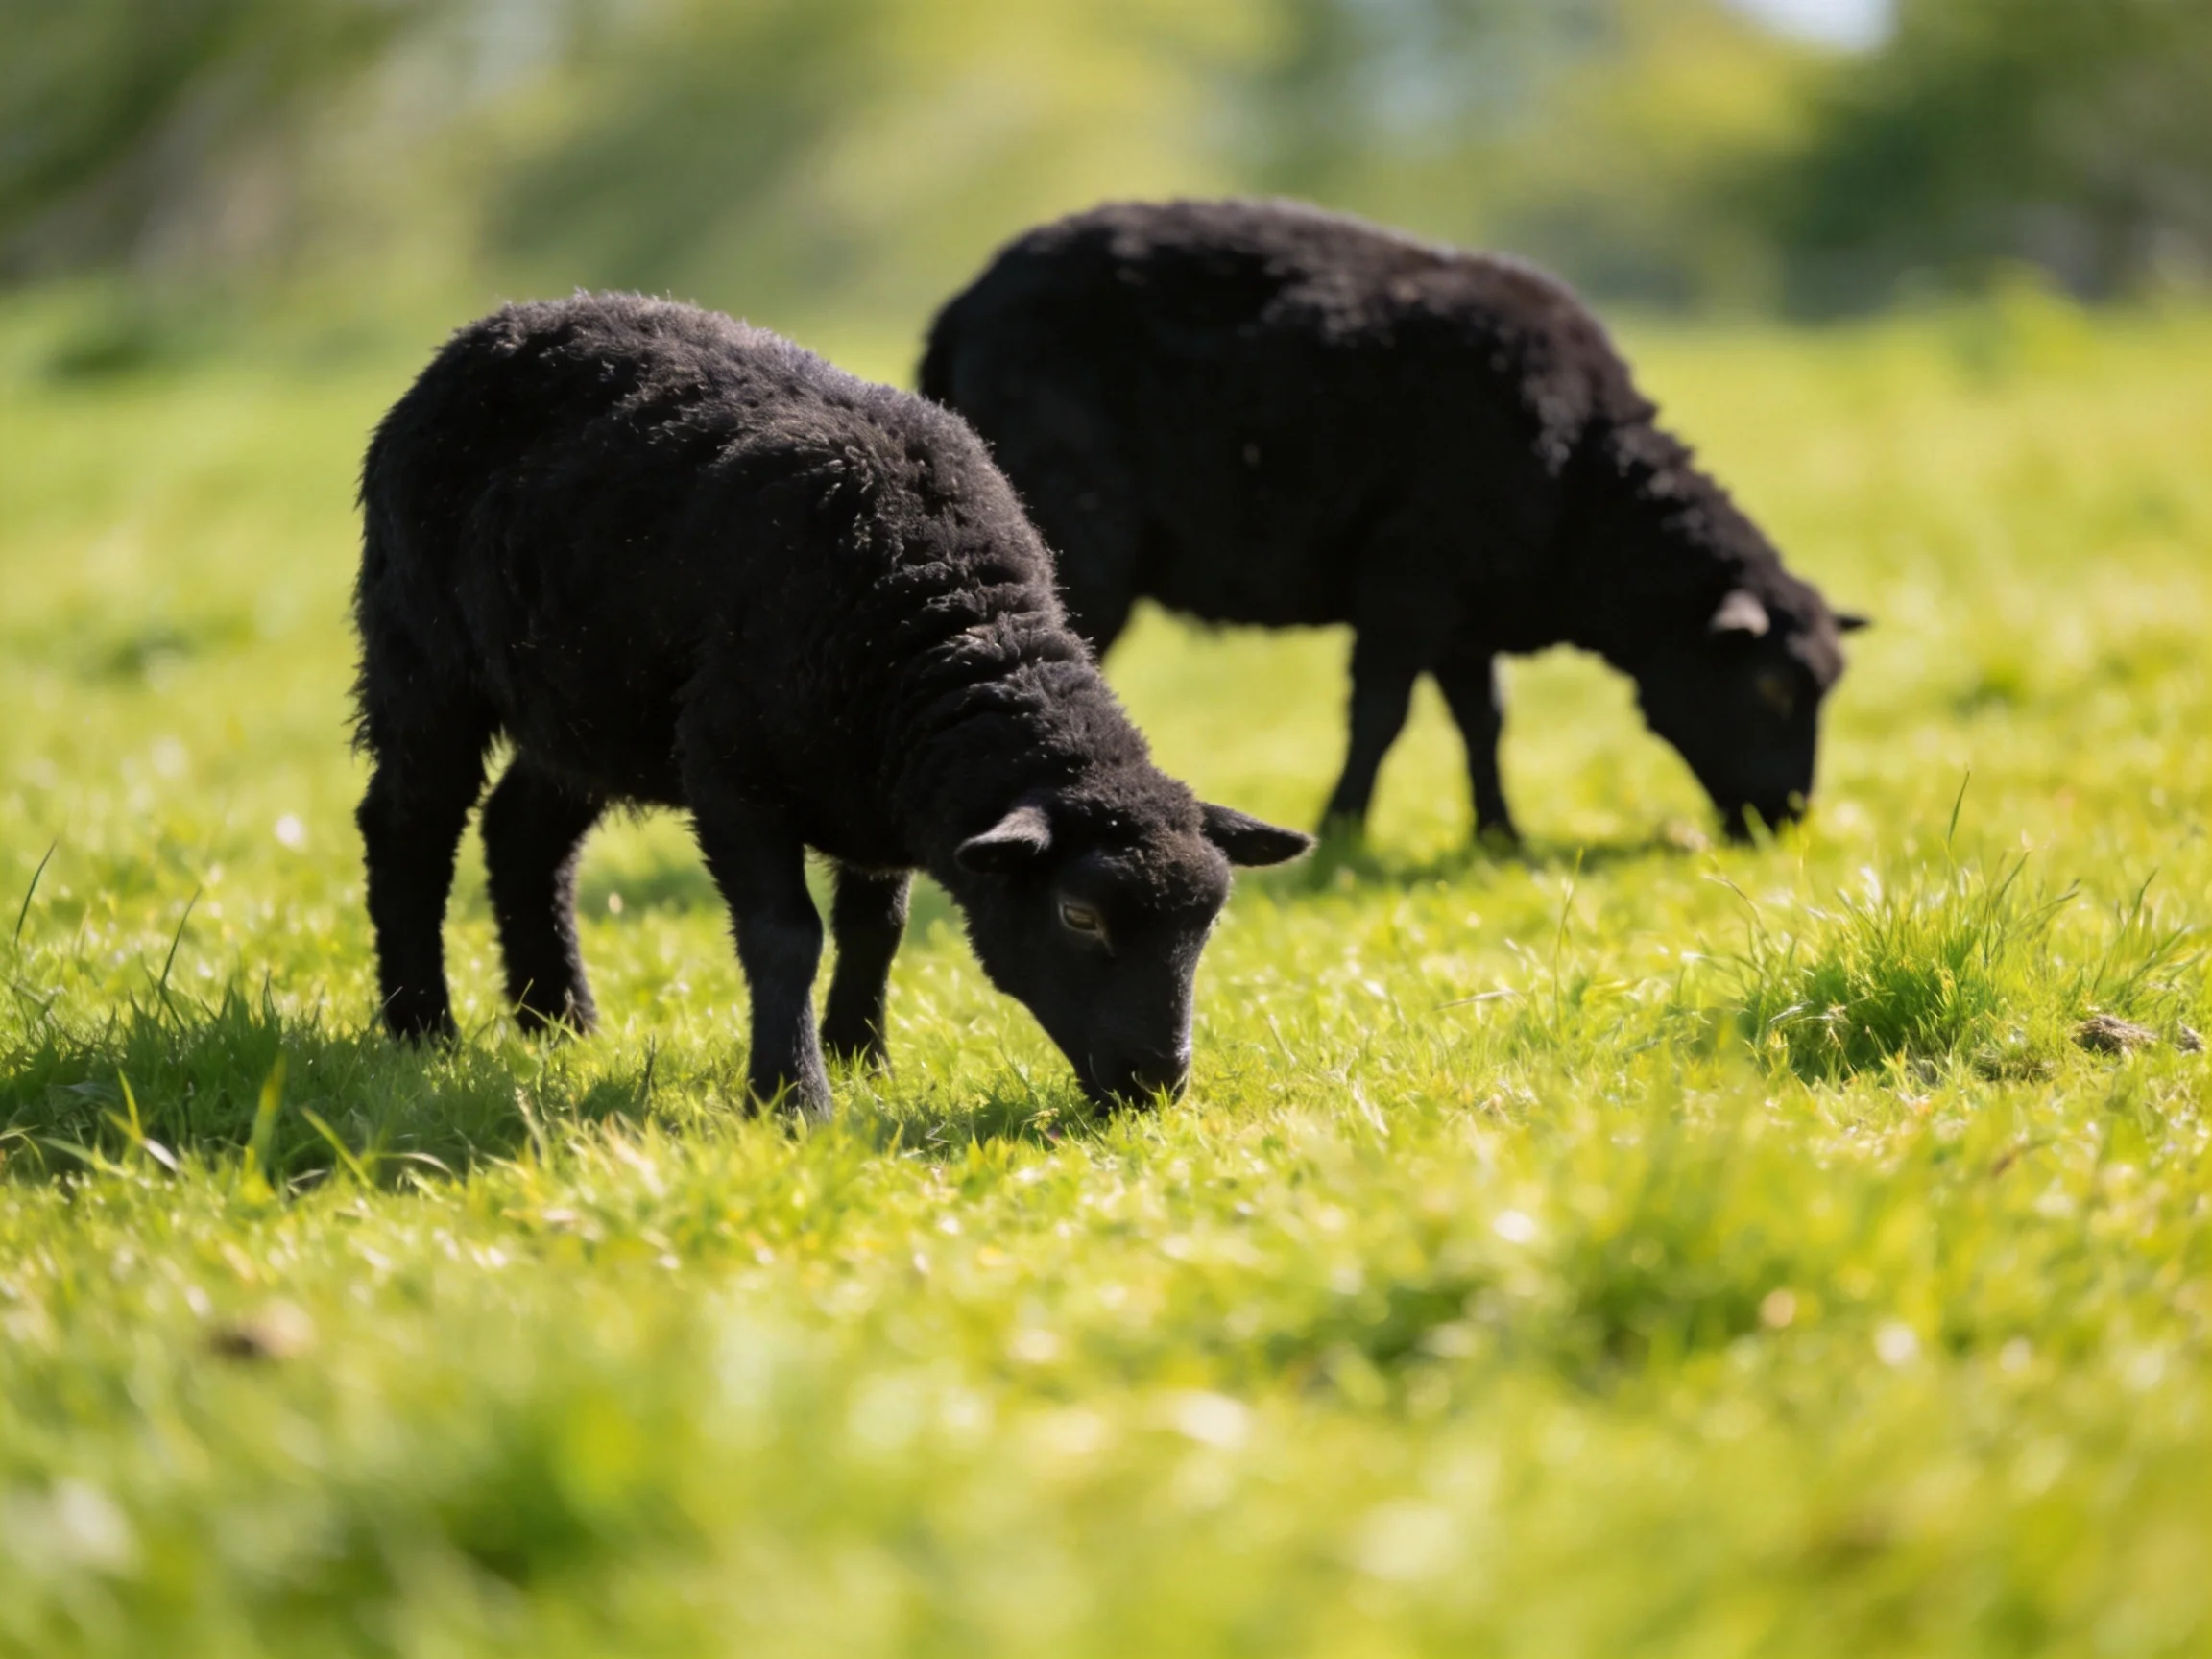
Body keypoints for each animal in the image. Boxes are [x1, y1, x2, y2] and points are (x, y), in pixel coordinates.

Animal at [352, 294, 1309, 1119]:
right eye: (1079, 916)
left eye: (1207, 923)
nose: (1157, 1084)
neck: (946, 612)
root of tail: (503, 322)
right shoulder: (731, 775)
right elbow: (787, 937)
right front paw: (793, 1096)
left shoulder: (878, 798)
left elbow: (874, 928)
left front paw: (862, 1057)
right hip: (422, 654)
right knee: (407, 828)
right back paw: (421, 1029)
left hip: (590, 707)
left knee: (523, 833)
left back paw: (559, 1025)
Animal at [920, 198, 1869, 843]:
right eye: (1775, 687)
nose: (1789, 819)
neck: (1586, 486)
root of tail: (963, 306)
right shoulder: (1410, 578)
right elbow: (1381, 714)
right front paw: (1342, 828)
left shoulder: (1469, 604)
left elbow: (1484, 719)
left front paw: (1499, 834)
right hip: (1077, 542)